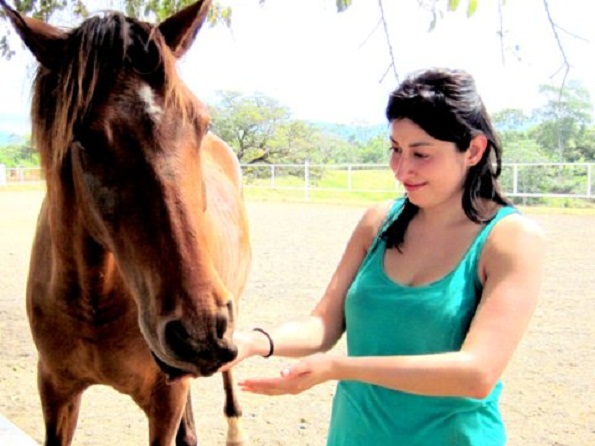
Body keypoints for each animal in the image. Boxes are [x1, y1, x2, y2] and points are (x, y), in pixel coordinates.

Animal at [0, 1, 251, 444]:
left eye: (201, 123)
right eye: (86, 138)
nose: (199, 331)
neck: (93, 302)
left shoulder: (163, 404)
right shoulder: (56, 390)